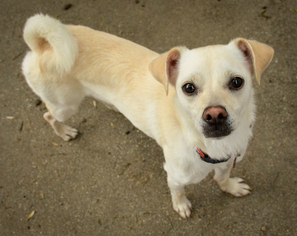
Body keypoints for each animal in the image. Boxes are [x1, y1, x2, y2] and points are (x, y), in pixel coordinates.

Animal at [22, 13, 272, 218]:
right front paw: (181, 205)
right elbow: (177, 192)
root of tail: (42, 46)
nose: (215, 115)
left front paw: (230, 187)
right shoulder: (174, 176)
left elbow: (222, 178)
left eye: (237, 82)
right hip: (65, 106)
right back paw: (64, 132)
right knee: (48, 116)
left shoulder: (228, 161)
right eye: (188, 88)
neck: (212, 147)